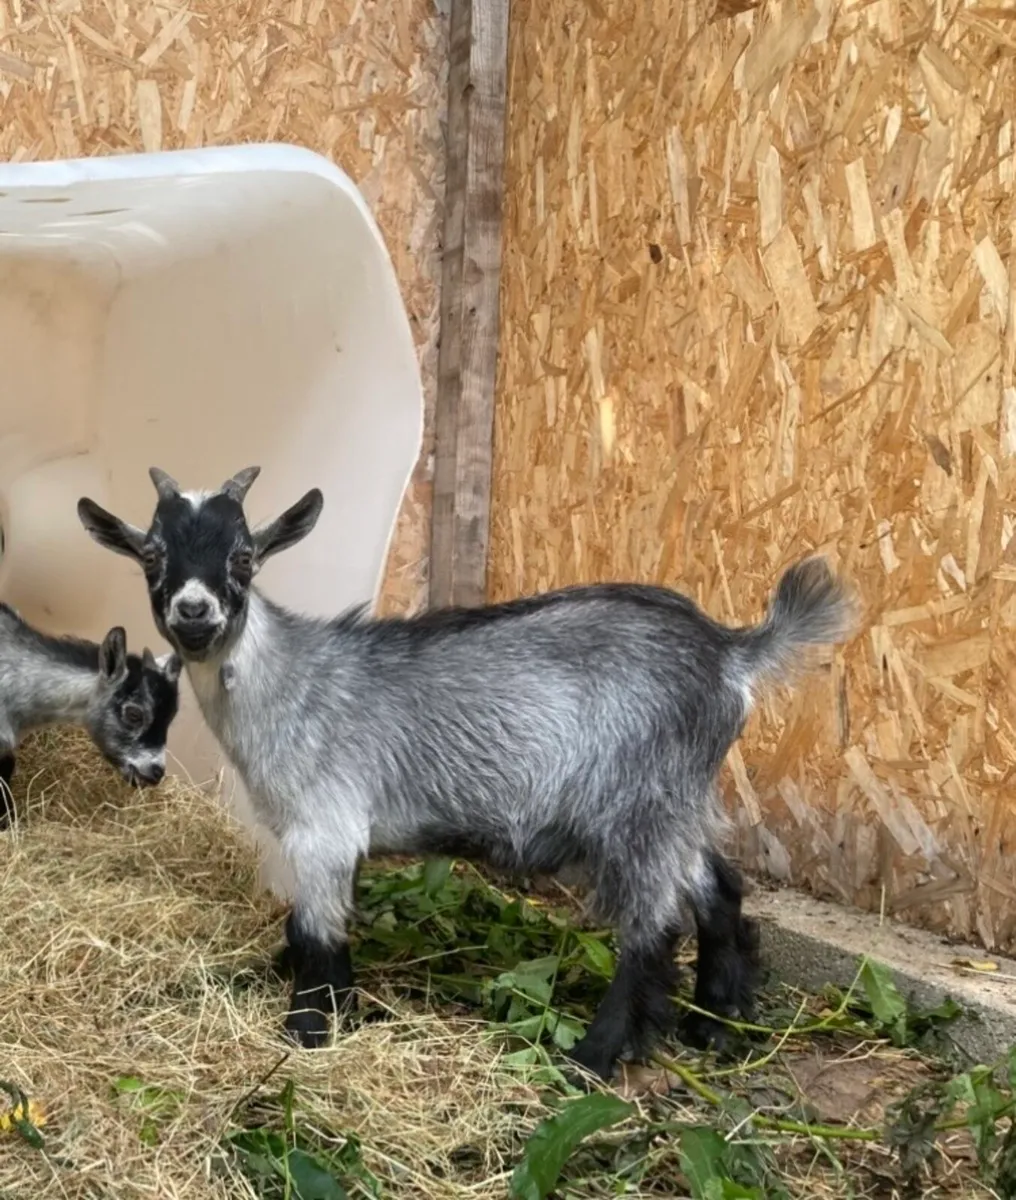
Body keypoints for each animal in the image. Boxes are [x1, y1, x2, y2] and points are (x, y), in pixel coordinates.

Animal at [77, 466, 857, 1080]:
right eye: (152, 555)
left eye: (243, 556)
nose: (194, 612)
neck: (288, 679)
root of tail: (731, 652)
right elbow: (311, 929)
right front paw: (321, 1001)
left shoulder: (324, 827)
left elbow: (317, 932)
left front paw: (308, 1031)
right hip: (677, 802)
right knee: (718, 888)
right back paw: (717, 1023)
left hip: (639, 802)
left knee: (654, 927)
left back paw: (594, 1058)